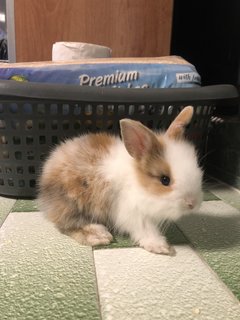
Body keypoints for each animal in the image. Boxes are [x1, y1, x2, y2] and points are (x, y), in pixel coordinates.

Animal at [38, 107, 202, 255]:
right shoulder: (132, 212)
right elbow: (146, 229)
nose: (192, 204)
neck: (138, 183)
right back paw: (99, 236)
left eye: (198, 168)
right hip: (71, 203)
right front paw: (161, 247)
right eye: (165, 180)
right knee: (67, 226)